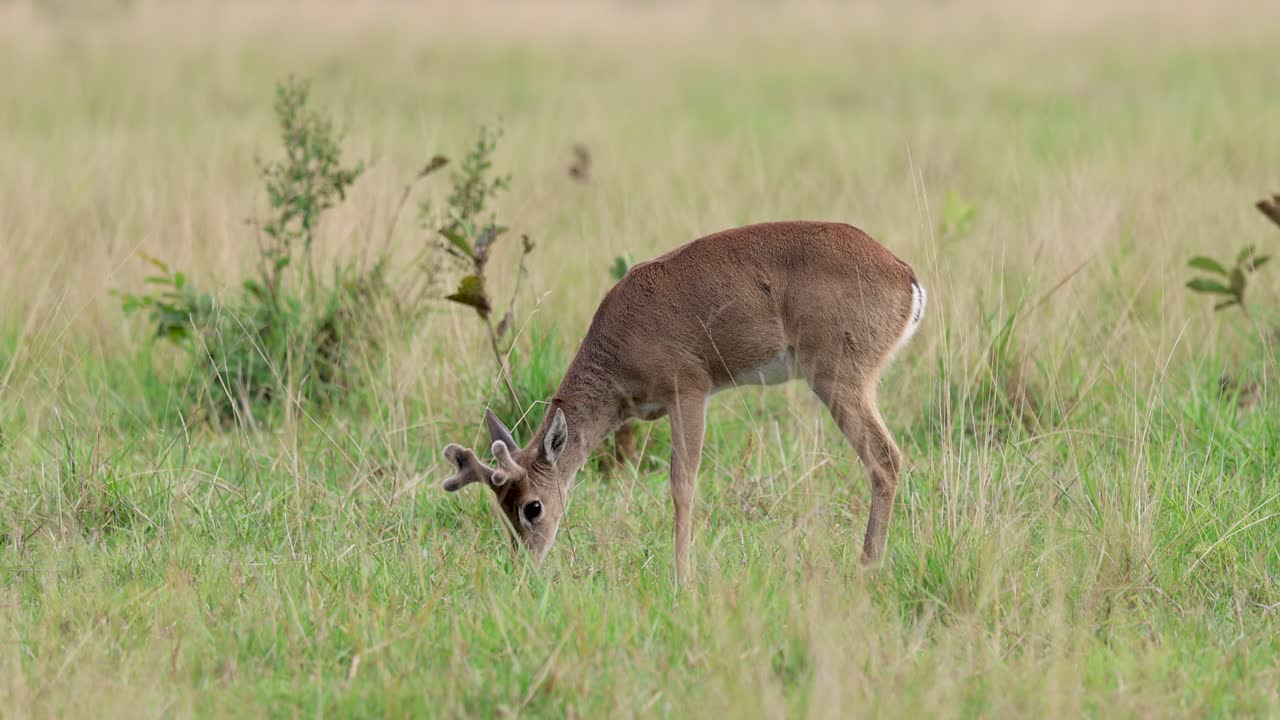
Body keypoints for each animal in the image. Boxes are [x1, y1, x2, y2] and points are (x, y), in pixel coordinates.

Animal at [441, 221, 926, 583]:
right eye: (501, 508)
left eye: (532, 506)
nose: (526, 565)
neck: (618, 343)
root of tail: (906, 277)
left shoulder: (689, 391)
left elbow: (682, 484)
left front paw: (682, 576)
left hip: (839, 377)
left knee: (885, 457)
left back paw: (867, 566)